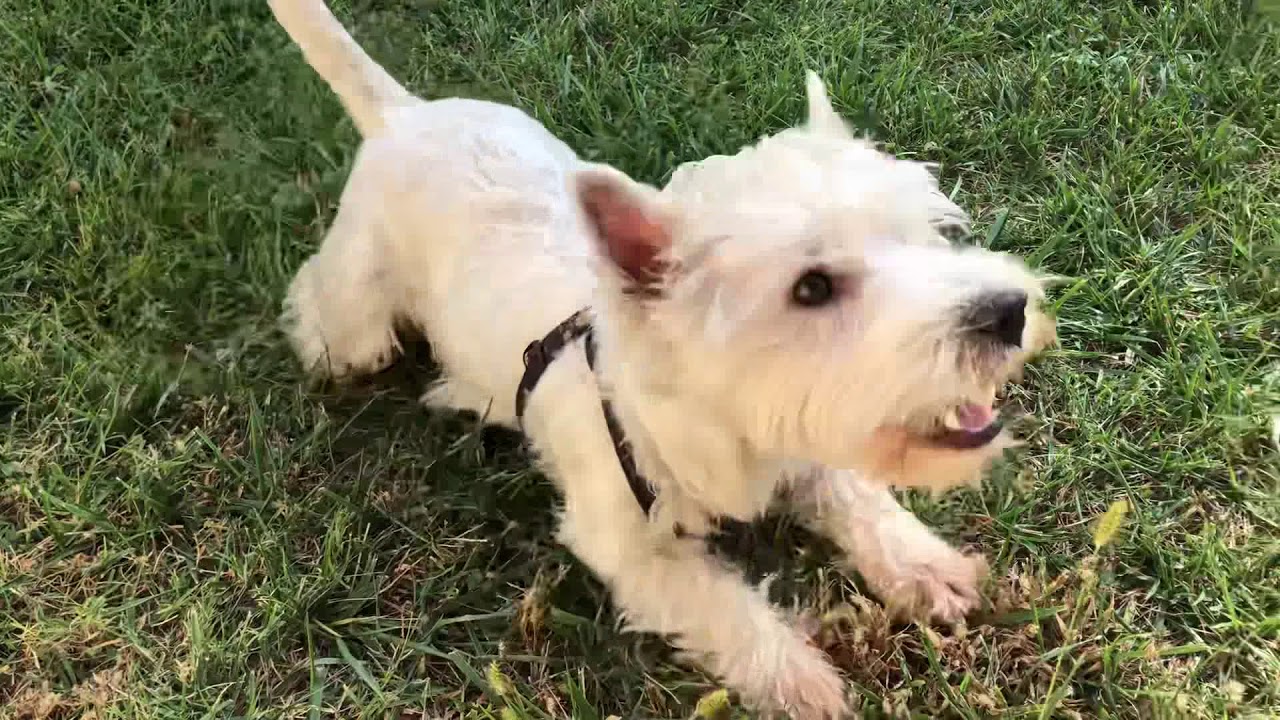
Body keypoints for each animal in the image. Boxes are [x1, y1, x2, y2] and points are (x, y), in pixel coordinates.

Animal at [267, 2, 1049, 712]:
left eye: (927, 232)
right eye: (812, 287)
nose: (1008, 312)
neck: (729, 436)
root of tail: (403, 119)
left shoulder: (804, 444)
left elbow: (856, 494)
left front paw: (928, 568)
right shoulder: (627, 546)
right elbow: (718, 602)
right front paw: (801, 682)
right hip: (355, 329)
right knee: (315, 304)